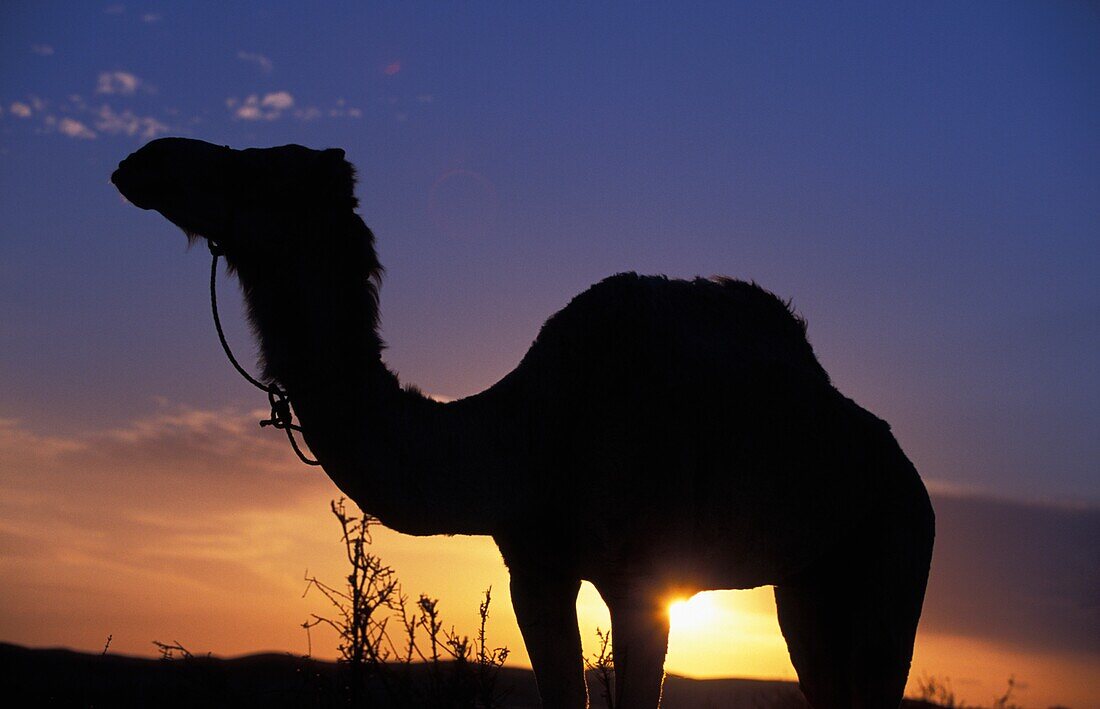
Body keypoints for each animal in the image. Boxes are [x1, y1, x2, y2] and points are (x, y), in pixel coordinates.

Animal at [111, 138, 937, 707]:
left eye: (258, 170)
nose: (142, 161)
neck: (528, 437)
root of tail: (900, 464)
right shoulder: (534, 569)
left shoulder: (646, 580)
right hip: (809, 580)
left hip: (898, 546)